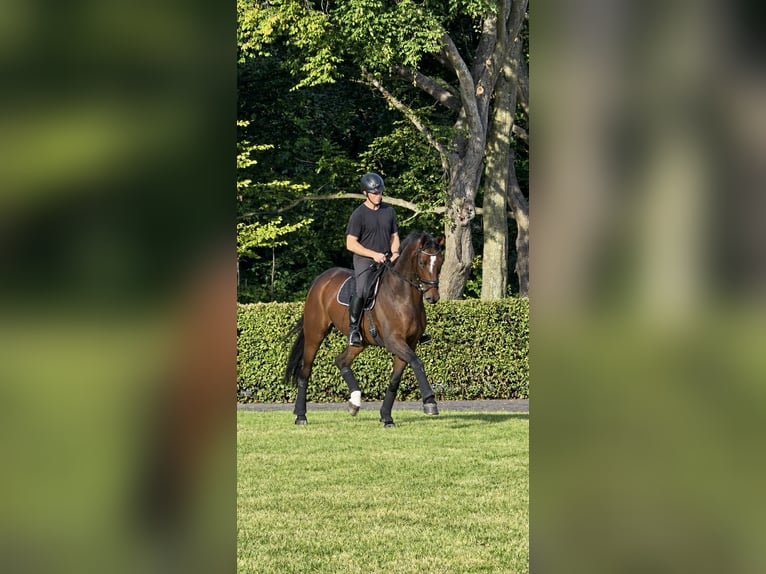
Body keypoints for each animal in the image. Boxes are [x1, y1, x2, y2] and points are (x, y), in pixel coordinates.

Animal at [284, 231, 445, 427]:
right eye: (422, 262)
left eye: (440, 262)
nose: (432, 297)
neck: (403, 296)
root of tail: (321, 279)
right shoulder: (394, 342)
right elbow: (417, 362)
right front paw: (430, 401)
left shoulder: (409, 343)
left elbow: (395, 380)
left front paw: (386, 417)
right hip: (315, 334)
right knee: (305, 372)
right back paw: (301, 415)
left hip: (360, 342)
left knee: (342, 361)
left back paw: (354, 402)